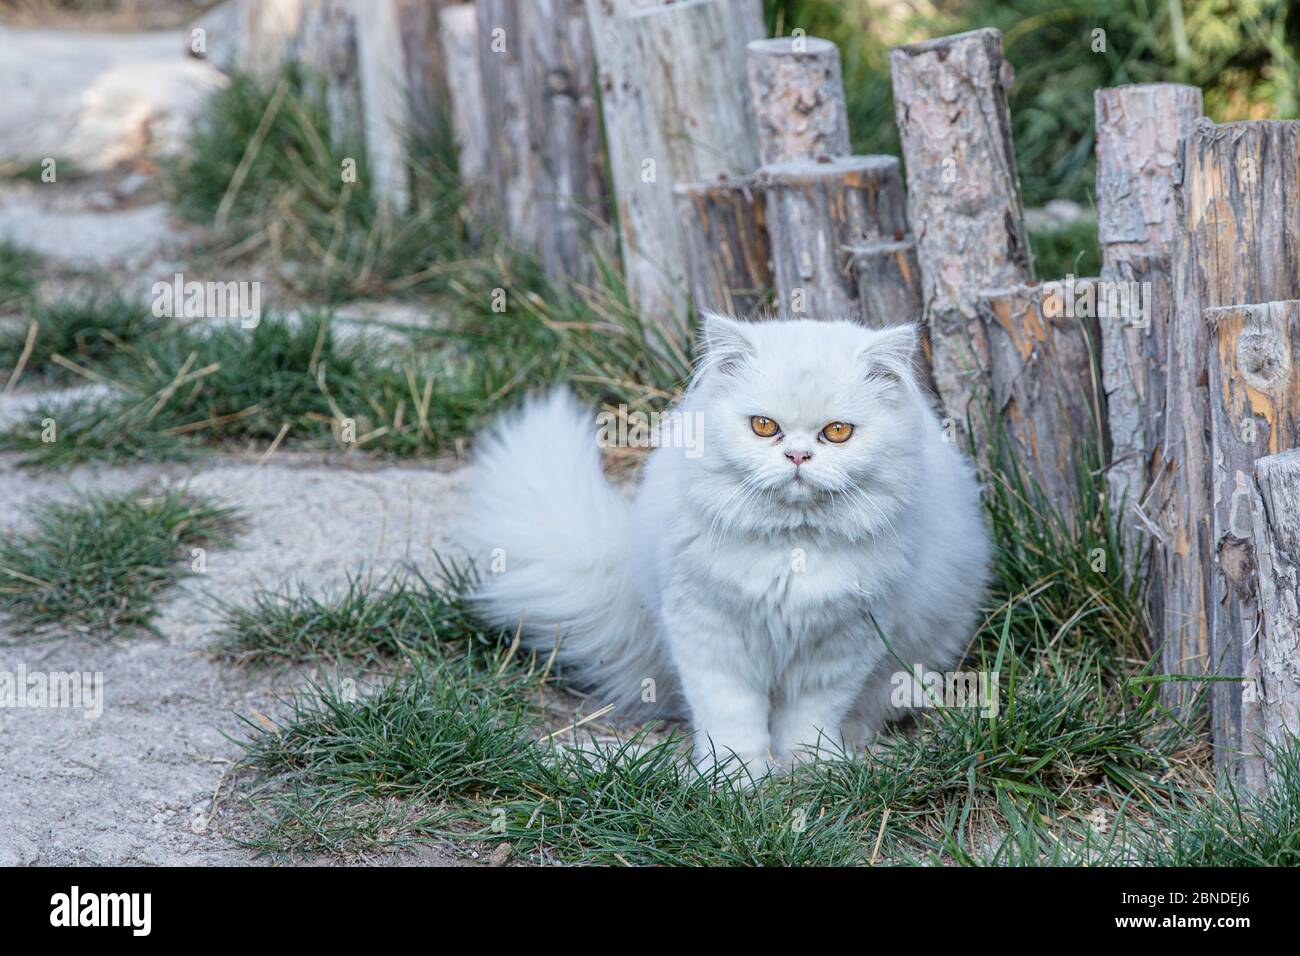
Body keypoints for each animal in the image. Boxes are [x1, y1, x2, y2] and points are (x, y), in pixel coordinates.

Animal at [462, 317, 987, 775]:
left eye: (837, 432)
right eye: (763, 426)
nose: (798, 455)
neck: (792, 547)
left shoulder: (844, 643)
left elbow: (809, 720)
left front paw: (813, 770)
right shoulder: (709, 632)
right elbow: (732, 718)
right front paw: (734, 780)